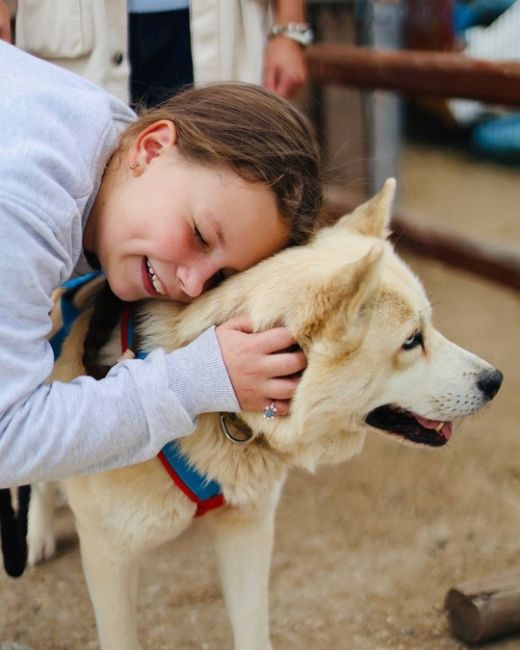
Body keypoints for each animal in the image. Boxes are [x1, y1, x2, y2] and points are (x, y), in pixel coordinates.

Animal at [27, 181, 500, 648]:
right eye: (411, 340)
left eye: (429, 327)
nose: (495, 380)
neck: (218, 414)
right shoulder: (111, 558)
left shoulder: (249, 532)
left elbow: (253, 630)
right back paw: (37, 534)